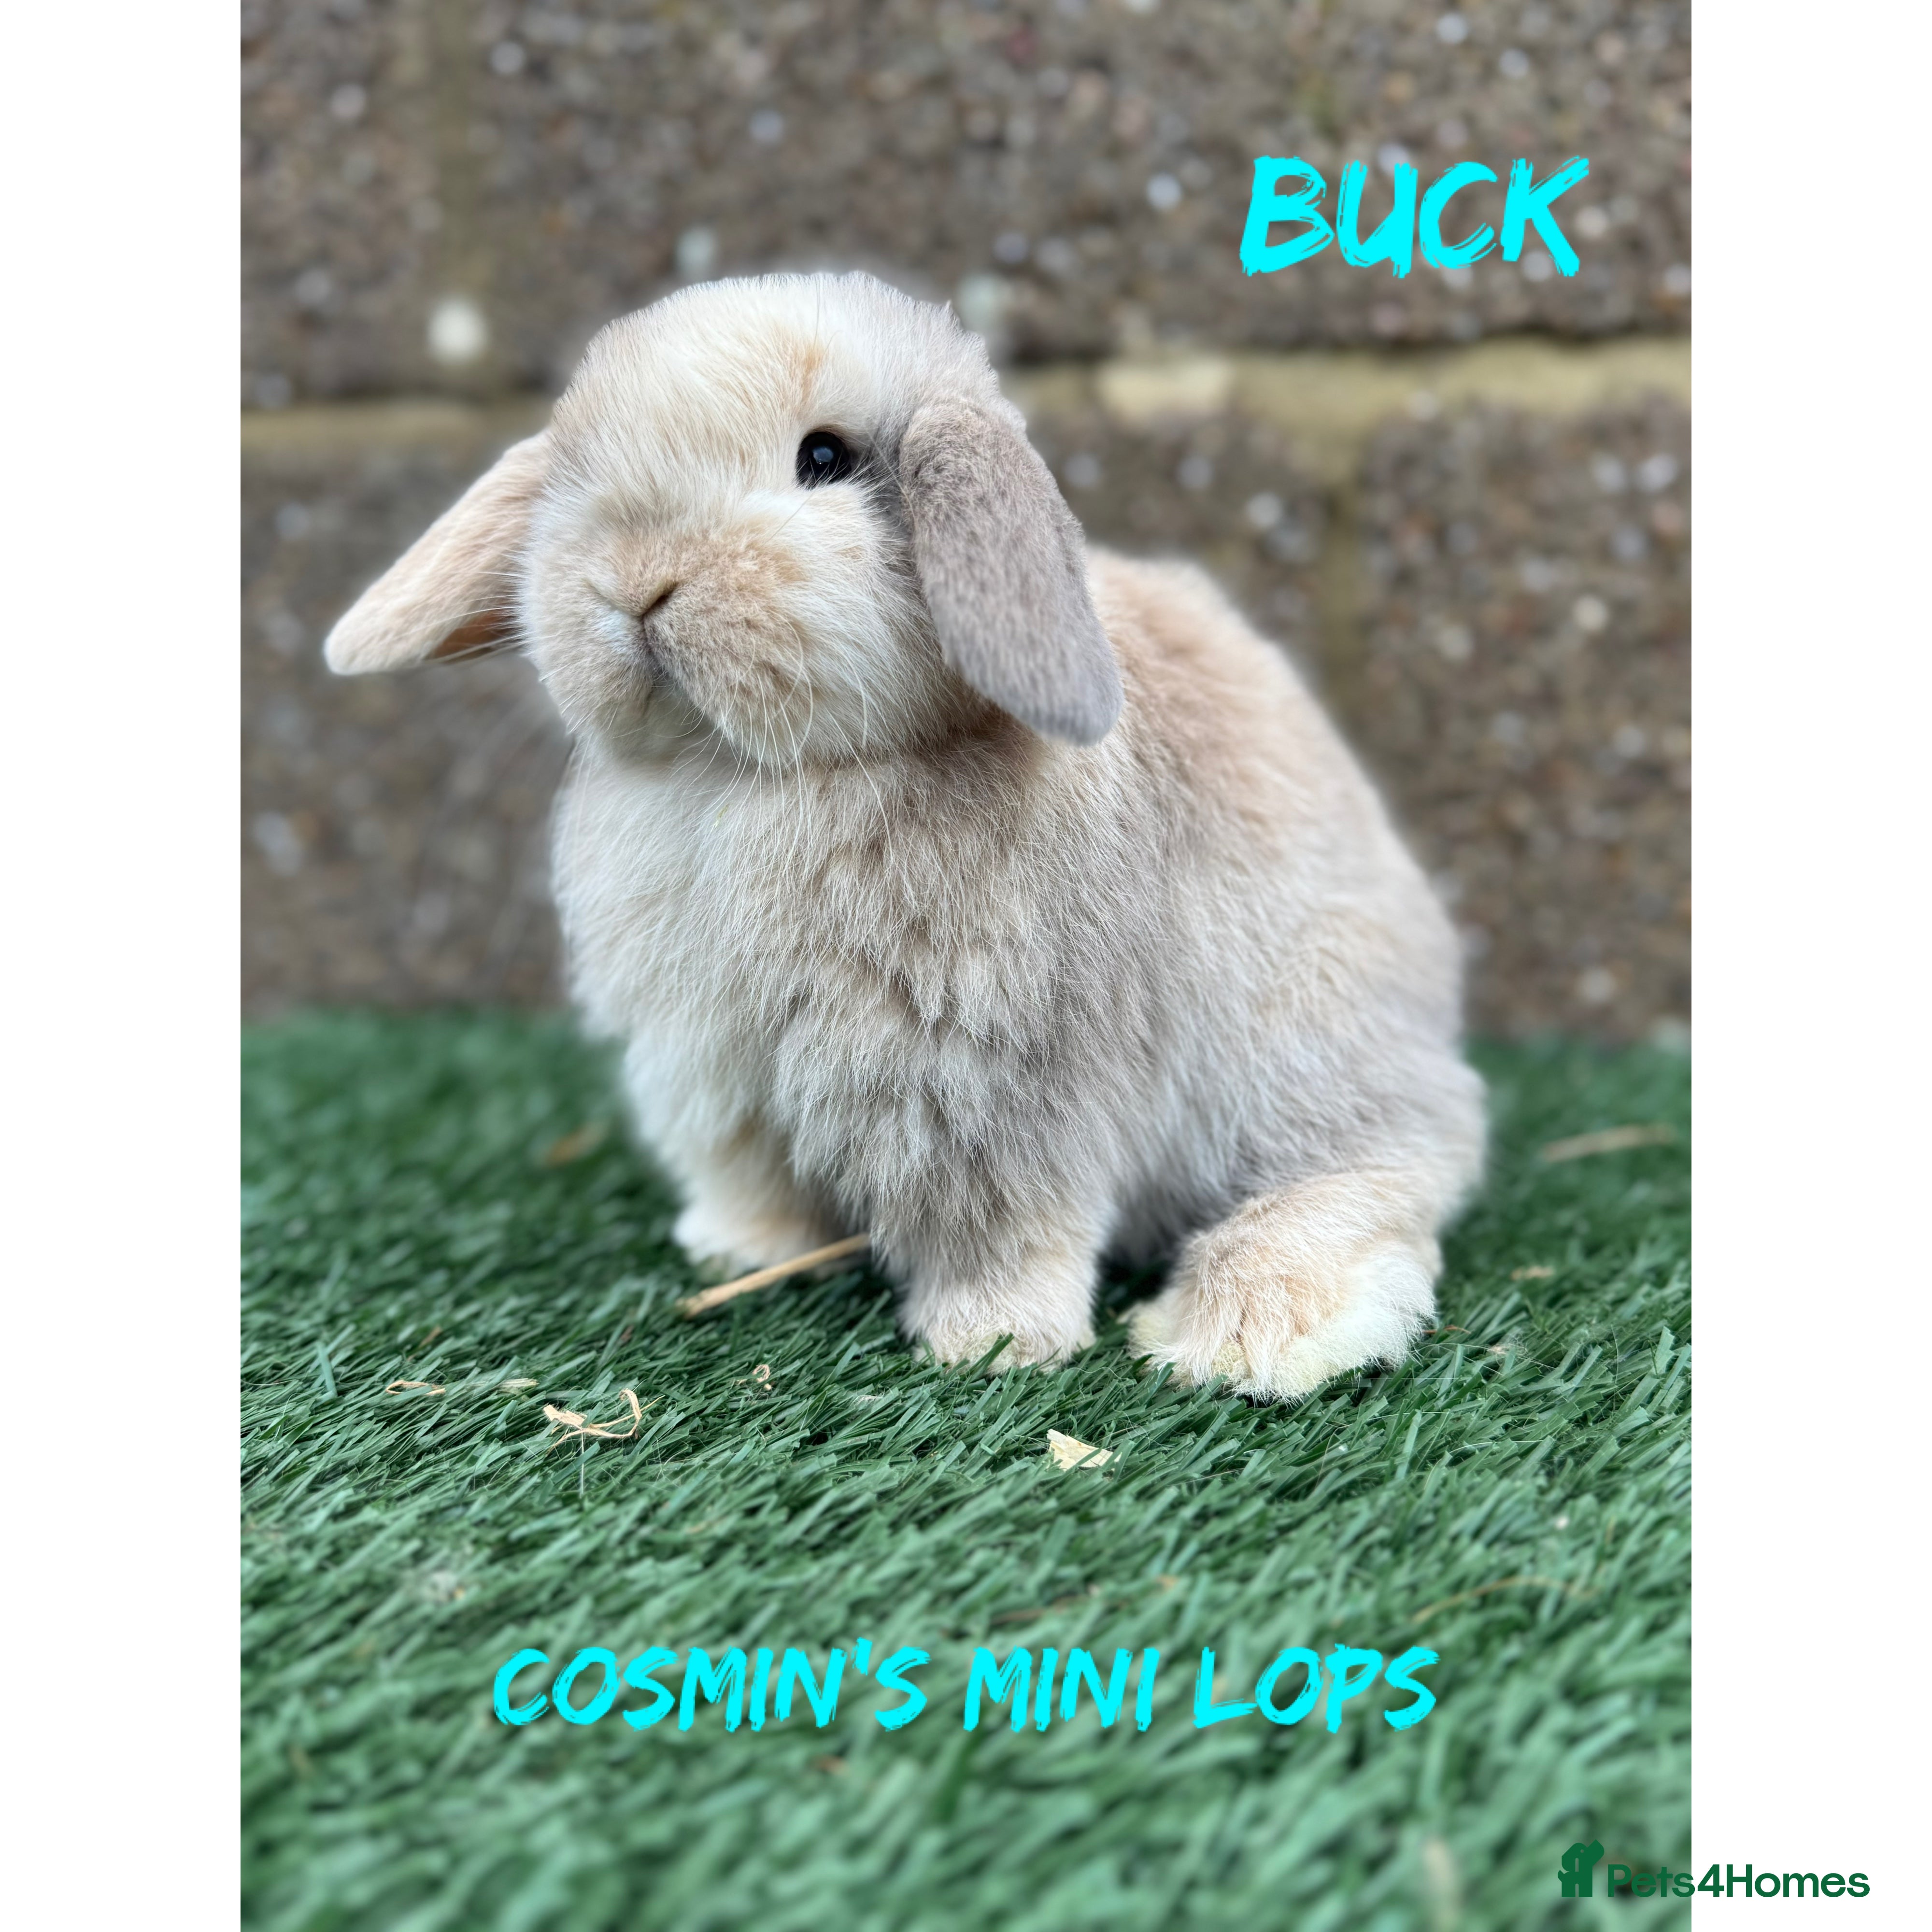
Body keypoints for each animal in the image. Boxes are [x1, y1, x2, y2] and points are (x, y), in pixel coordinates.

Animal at [324, 270, 1484, 1402]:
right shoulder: (718, 1078)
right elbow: (751, 1180)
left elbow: (1005, 1228)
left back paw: (1250, 1330)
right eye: (574, 470)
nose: (634, 581)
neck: (748, 780)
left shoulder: (1001, 1093)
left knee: (1401, 1158)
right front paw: (736, 1250)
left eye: (824, 458)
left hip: (1306, 1042)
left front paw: (989, 1343)